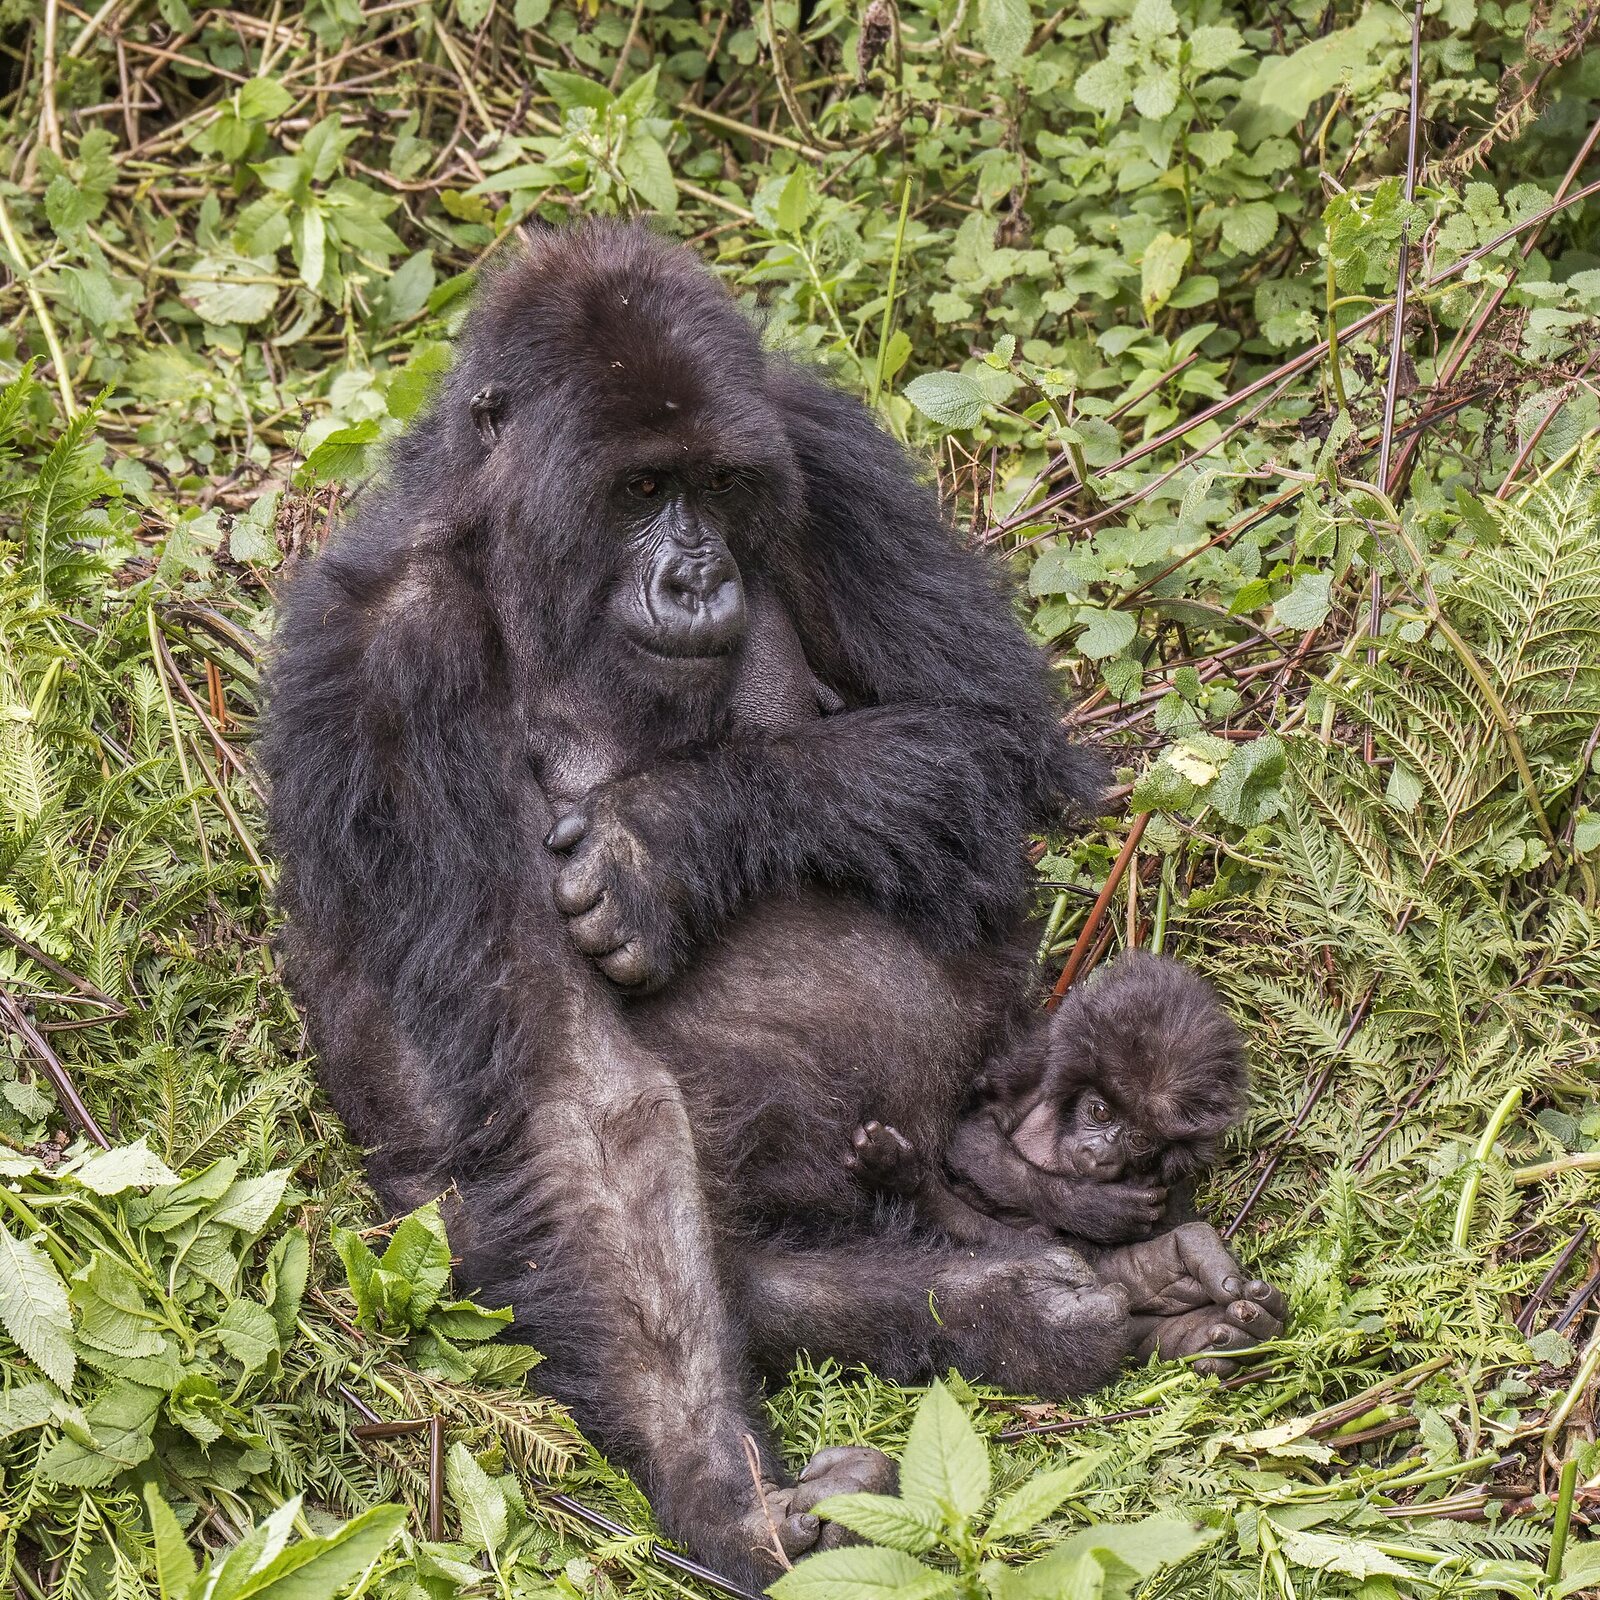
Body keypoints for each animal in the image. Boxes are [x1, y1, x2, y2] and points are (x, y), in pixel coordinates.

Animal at [846, 952, 1250, 1249]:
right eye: (1100, 1111)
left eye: (1139, 1139)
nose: (1100, 1153)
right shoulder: (1043, 1051)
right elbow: (973, 1128)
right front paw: (1089, 1208)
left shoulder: (1177, 1186)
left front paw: (908, 1182)